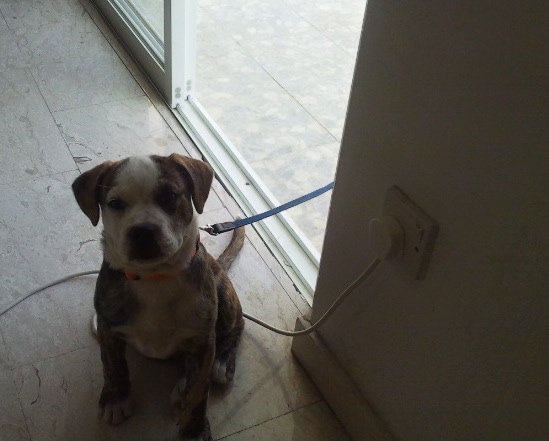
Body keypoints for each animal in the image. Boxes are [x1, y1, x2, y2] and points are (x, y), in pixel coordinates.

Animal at [71, 153, 243, 438]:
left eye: (169, 196)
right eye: (115, 204)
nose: (142, 231)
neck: (154, 277)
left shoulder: (203, 339)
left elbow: (200, 392)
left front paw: (195, 429)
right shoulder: (109, 327)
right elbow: (112, 365)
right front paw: (116, 398)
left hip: (222, 295)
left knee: (235, 328)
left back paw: (218, 364)